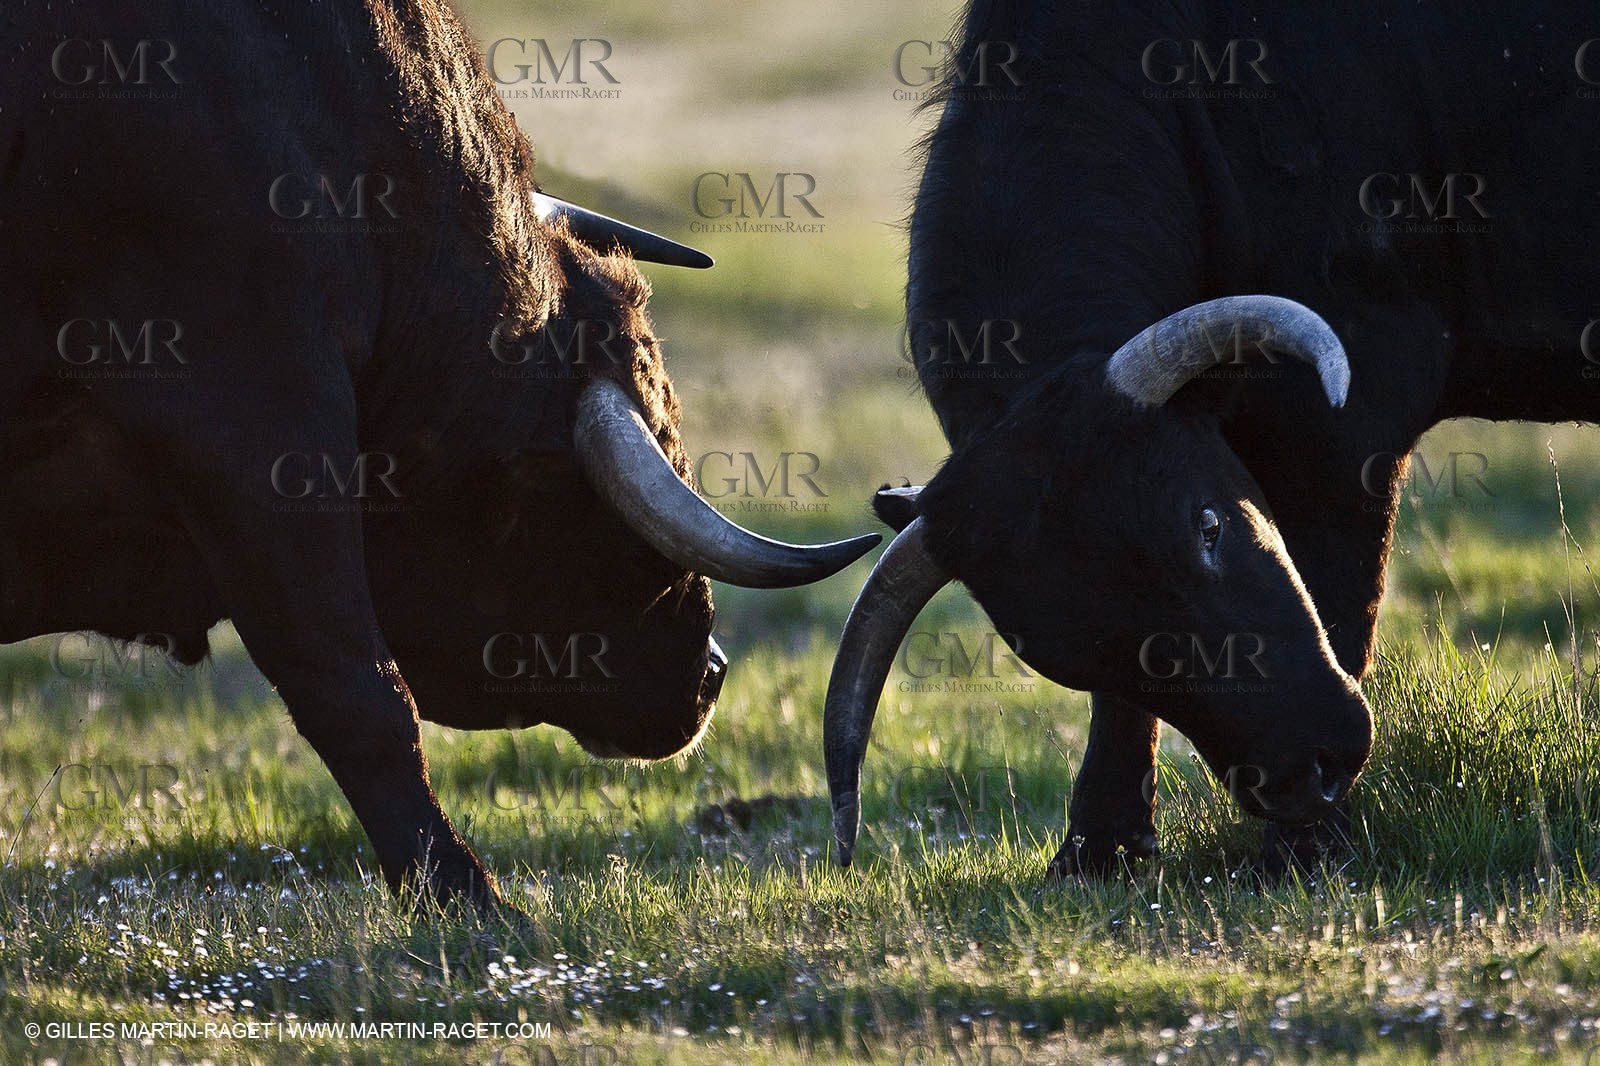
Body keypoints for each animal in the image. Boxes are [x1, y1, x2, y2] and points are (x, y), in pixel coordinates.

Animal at [824, 1, 1598, 876]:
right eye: (1072, 650)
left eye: (1208, 525)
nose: (1305, 772)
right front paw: (1098, 850)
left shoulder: (1346, 423)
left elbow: (1345, 599)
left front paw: (1302, 854)